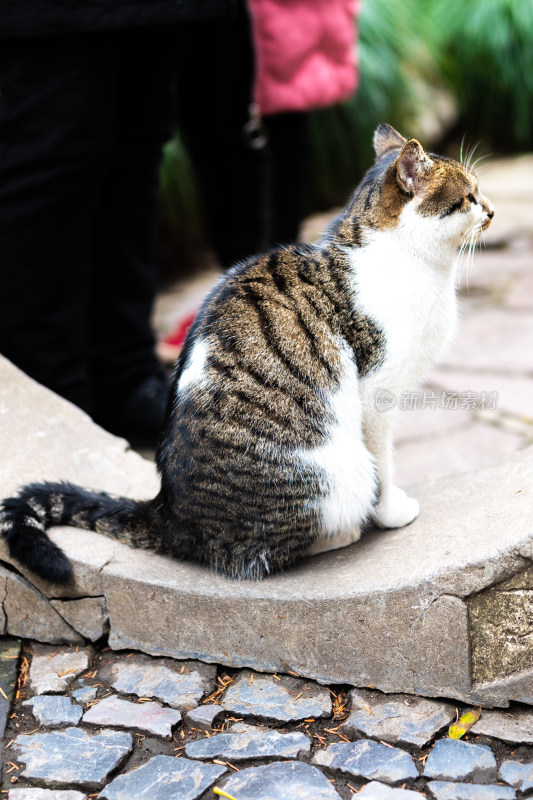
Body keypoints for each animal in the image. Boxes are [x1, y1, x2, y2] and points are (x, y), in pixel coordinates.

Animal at [2, 126, 494, 588]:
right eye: (469, 196)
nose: (491, 210)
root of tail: (169, 513)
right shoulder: (377, 396)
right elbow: (386, 464)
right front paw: (392, 512)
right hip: (338, 469)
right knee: (268, 551)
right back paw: (344, 533)